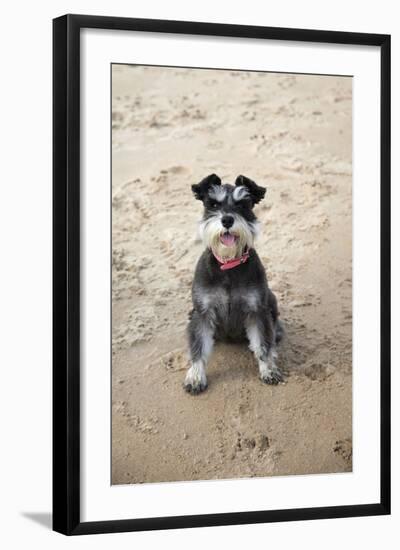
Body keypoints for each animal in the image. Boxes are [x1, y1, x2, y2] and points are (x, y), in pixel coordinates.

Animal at [184, 175, 284, 394]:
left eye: (242, 205)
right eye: (213, 204)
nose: (227, 220)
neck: (228, 265)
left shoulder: (257, 311)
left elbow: (263, 344)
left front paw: (268, 369)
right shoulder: (202, 312)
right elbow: (198, 346)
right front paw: (195, 376)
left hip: (271, 300)